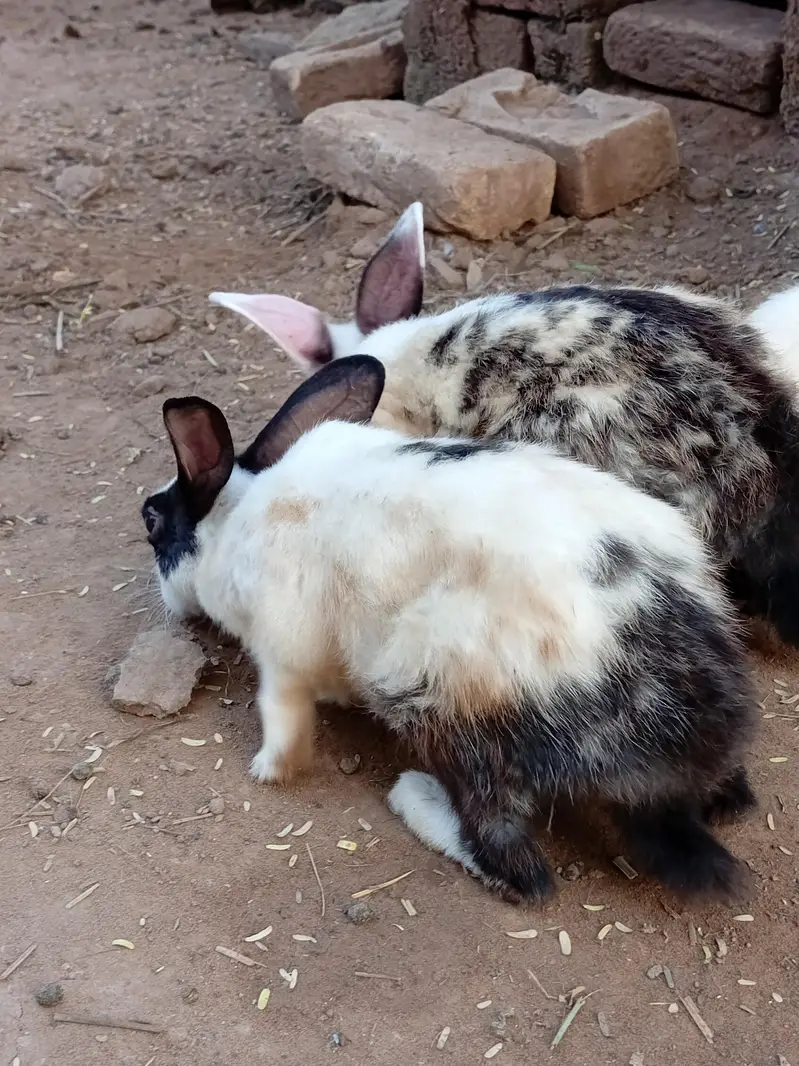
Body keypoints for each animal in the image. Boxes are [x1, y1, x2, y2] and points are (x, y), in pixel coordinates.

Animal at [142, 355, 756, 903]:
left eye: (152, 521)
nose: (167, 599)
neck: (236, 516)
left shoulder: (281, 649)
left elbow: (282, 717)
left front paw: (269, 771)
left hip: (442, 704)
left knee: (518, 869)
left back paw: (414, 798)